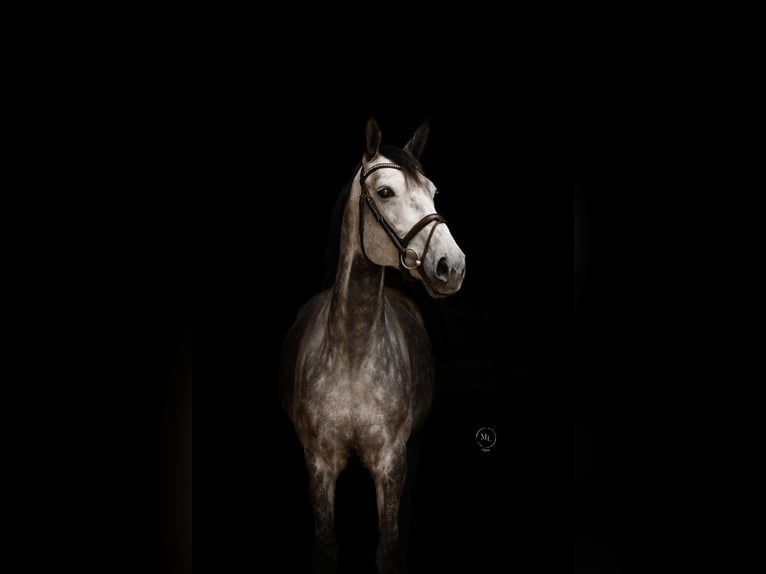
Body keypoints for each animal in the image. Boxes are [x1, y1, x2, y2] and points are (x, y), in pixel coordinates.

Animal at [279, 117, 466, 573]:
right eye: (384, 192)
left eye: (433, 191)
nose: (451, 266)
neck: (352, 354)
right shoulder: (319, 465)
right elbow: (327, 547)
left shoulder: (391, 463)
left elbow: (388, 550)